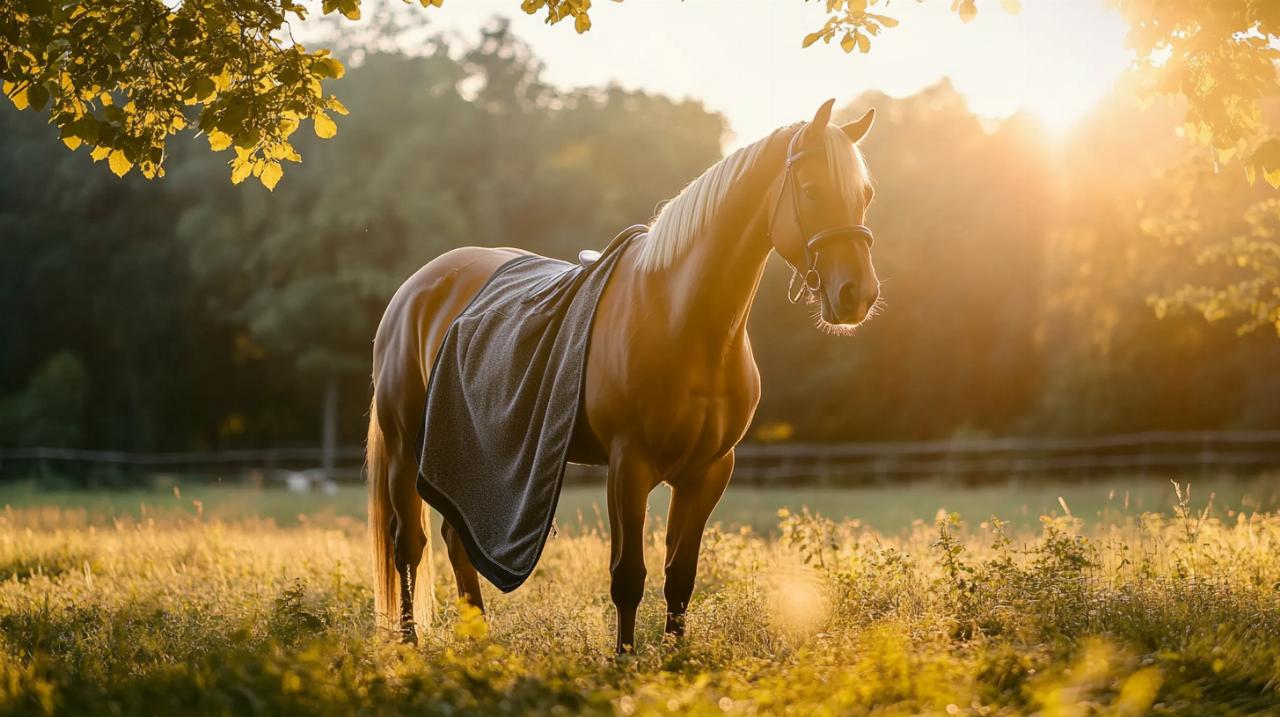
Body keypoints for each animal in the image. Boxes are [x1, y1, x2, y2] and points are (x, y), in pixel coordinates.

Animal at [366, 98, 881, 652]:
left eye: (865, 194)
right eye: (812, 190)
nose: (857, 295)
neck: (682, 319)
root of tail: (414, 289)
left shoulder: (708, 471)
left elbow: (681, 576)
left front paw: (674, 657)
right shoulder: (627, 465)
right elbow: (628, 576)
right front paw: (624, 659)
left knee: (456, 540)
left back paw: (480, 641)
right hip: (405, 448)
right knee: (409, 545)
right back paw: (411, 645)